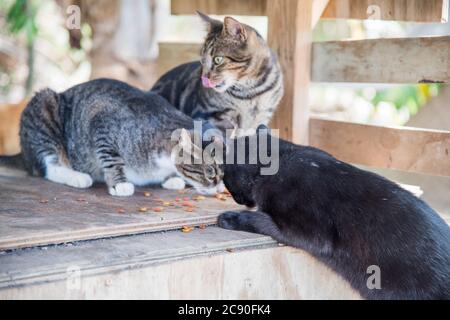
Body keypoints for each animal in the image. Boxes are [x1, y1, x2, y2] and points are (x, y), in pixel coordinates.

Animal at [5, 79, 223, 196]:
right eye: (210, 172)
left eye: (223, 173)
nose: (221, 188)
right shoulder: (101, 118)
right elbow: (110, 156)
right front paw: (120, 183)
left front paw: (172, 179)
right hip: (44, 106)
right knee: (47, 166)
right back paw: (77, 176)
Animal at [153, 12, 284, 134]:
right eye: (202, 60)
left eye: (218, 59)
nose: (203, 78)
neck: (251, 90)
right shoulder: (203, 112)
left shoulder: (263, 117)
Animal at [219, 125, 450, 300]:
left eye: (224, 178)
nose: (236, 199)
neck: (286, 157)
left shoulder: (309, 232)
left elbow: (260, 220)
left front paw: (231, 218)